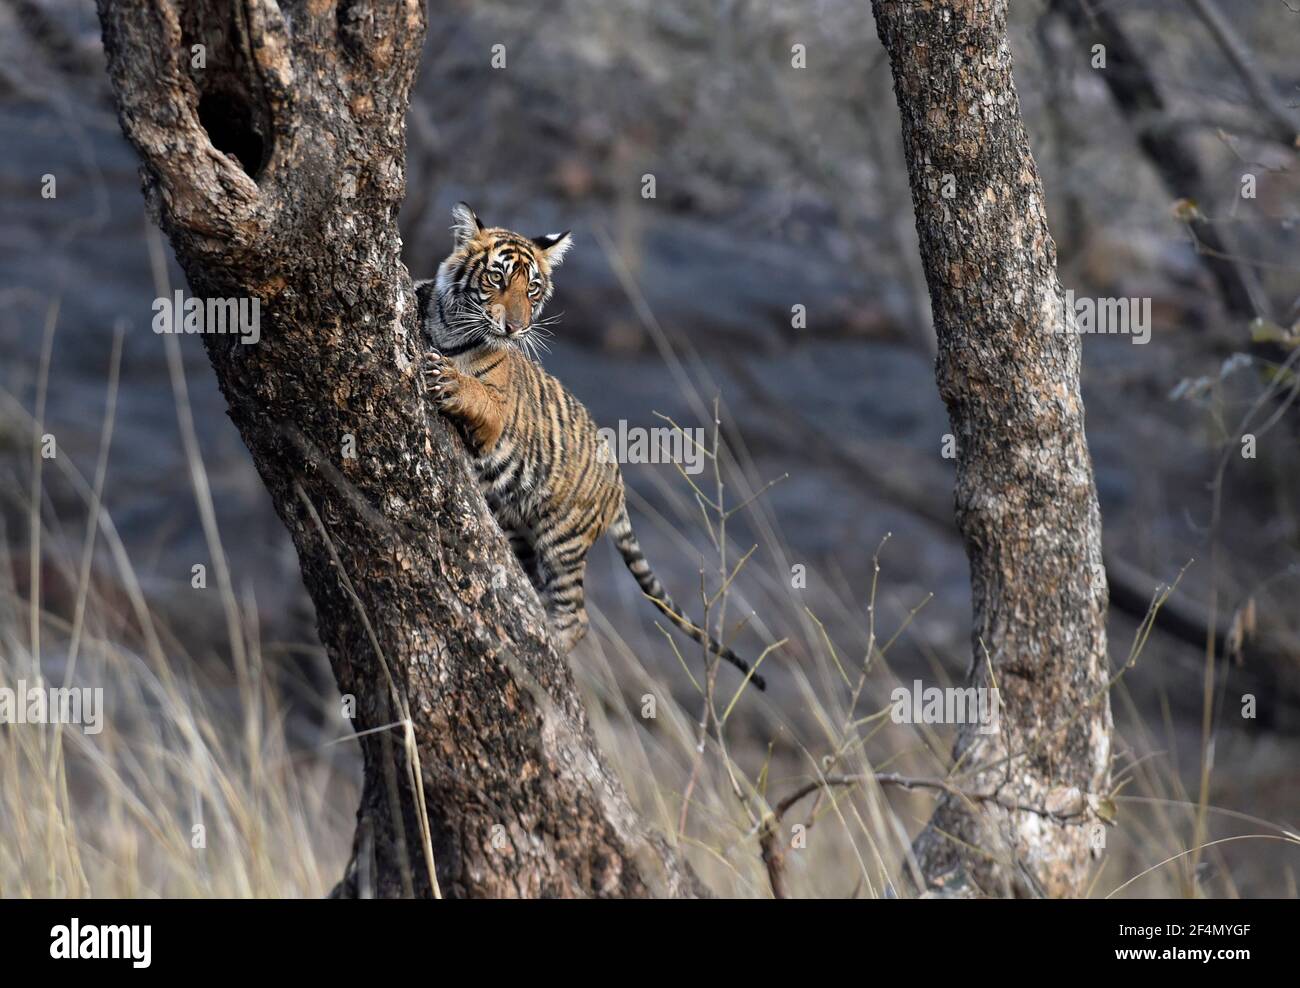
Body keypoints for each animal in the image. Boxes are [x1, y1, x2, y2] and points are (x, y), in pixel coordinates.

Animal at [415, 203, 765, 691]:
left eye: (533, 288)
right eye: (497, 278)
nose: (516, 327)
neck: (448, 332)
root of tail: (619, 489)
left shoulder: (497, 417)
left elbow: (480, 394)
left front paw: (451, 381)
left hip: (562, 538)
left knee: (574, 614)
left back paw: (553, 650)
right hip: (521, 531)